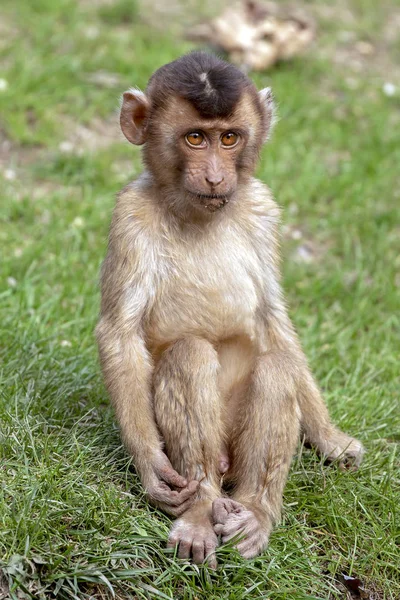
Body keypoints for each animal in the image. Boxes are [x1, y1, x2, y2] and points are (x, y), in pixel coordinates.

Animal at [95, 50, 364, 568]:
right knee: (189, 355)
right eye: (195, 138)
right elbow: (119, 332)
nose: (218, 177)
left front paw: (329, 438)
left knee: (277, 367)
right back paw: (202, 510)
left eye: (230, 137)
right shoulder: (129, 217)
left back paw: (256, 510)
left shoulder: (262, 209)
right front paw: (151, 468)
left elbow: (273, 321)